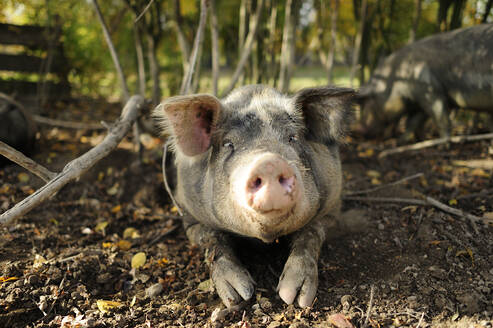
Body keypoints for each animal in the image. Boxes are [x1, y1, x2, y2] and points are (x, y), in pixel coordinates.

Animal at [154, 84, 354, 308]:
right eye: (228, 144)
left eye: (292, 137)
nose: (269, 163)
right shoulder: (188, 216)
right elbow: (212, 239)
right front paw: (239, 297)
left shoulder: (332, 208)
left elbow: (311, 234)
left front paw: (295, 298)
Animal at [358, 23, 492, 138]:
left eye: (370, 97)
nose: (358, 129)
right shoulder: (418, 101)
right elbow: (413, 122)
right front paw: (405, 141)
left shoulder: (429, 89)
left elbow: (440, 115)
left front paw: (443, 144)